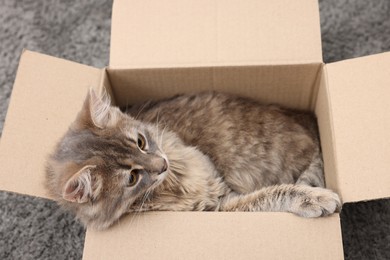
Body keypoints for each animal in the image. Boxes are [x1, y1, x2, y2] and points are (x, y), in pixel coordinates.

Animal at [44, 89, 340, 230]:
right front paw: (316, 198)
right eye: (132, 178)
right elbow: (273, 194)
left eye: (140, 142)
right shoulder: (222, 207)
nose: (162, 164)